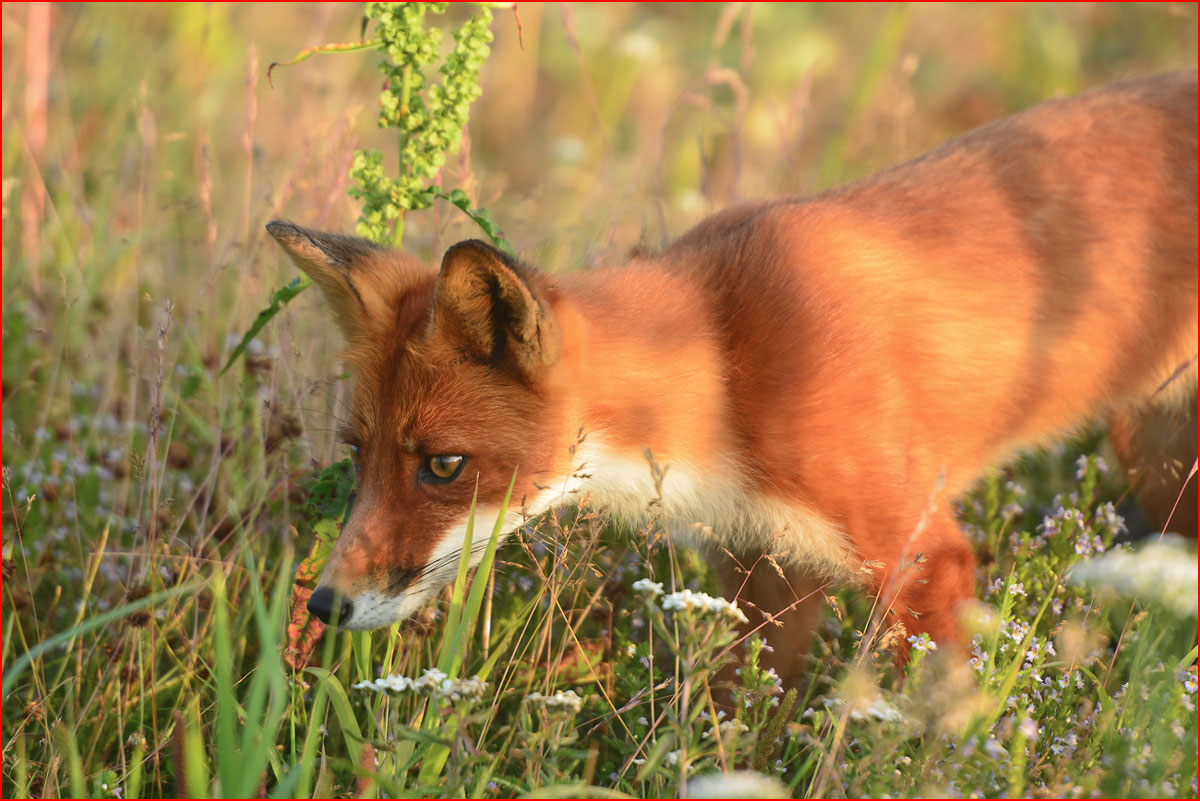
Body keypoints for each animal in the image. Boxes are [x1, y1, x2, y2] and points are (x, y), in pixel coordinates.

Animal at [267, 71, 1195, 690]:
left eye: (444, 465)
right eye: (358, 453)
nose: (325, 605)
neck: (729, 370)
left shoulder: (926, 558)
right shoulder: (767, 572)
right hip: (1159, 472)